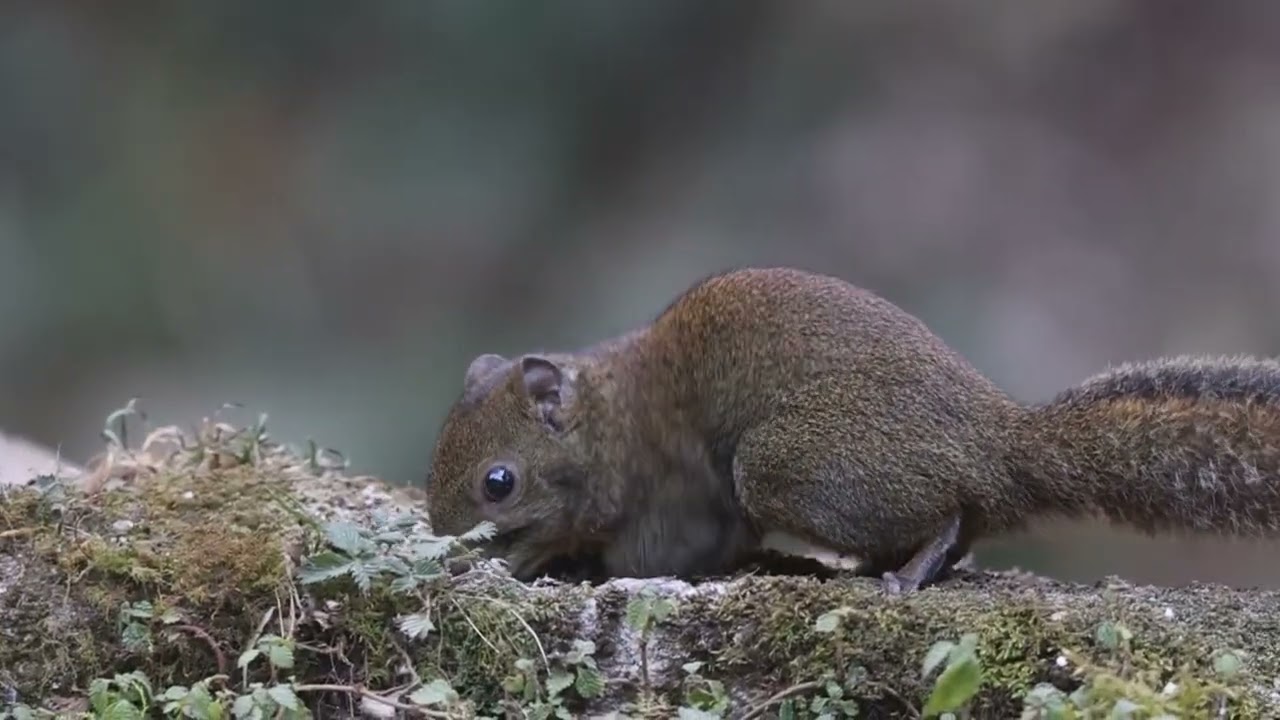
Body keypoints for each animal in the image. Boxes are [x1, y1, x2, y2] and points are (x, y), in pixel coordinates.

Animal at [424, 266, 1280, 591]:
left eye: (498, 483)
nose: (441, 535)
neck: (609, 422)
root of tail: (1000, 446)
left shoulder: (673, 497)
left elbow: (649, 557)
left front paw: (536, 560)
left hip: (793, 465)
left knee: (949, 516)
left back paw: (908, 568)